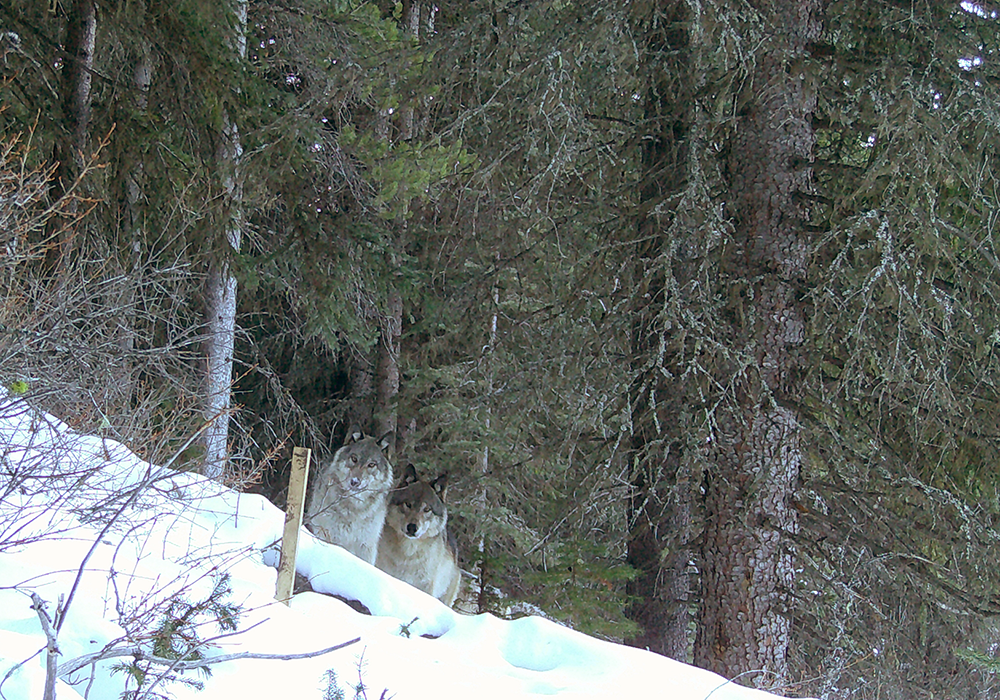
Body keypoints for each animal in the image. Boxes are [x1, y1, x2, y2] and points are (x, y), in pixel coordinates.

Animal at [305, 427, 394, 564]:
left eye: (371, 464)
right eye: (354, 459)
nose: (355, 482)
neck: (354, 508)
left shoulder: (365, 545)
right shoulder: (330, 535)